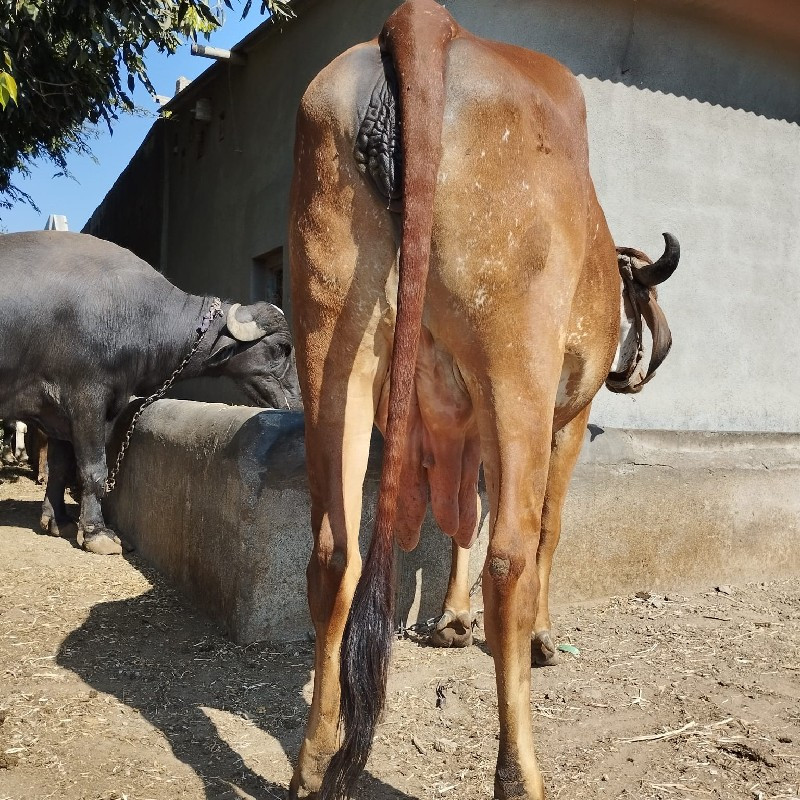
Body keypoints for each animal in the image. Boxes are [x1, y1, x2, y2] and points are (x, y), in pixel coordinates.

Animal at [0, 231, 300, 552]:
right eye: (282, 348)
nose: (295, 402)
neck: (138, 314)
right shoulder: (87, 399)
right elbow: (94, 469)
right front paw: (96, 532)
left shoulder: (58, 411)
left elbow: (59, 465)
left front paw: (57, 520)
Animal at [288, 3, 676, 796]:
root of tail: (428, 23)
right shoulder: (563, 416)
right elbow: (544, 527)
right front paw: (540, 638)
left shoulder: (464, 423)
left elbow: (461, 515)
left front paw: (449, 619)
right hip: (516, 357)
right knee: (512, 557)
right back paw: (518, 770)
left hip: (330, 342)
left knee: (336, 554)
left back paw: (313, 761)